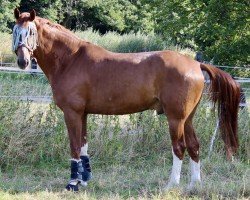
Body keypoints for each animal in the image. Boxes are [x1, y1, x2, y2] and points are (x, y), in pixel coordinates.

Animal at [12, 8, 240, 191]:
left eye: (30, 32)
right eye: (15, 31)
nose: (23, 61)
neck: (71, 60)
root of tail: (195, 64)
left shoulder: (72, 113)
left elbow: (75, 146)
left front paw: (72, 183)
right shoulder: (83, 114)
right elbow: (84, 146)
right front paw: (84, 180)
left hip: (175, 119)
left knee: (179, 147)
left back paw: (172, 185)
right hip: (187, 118)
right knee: (194, 146)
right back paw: (194, 184)